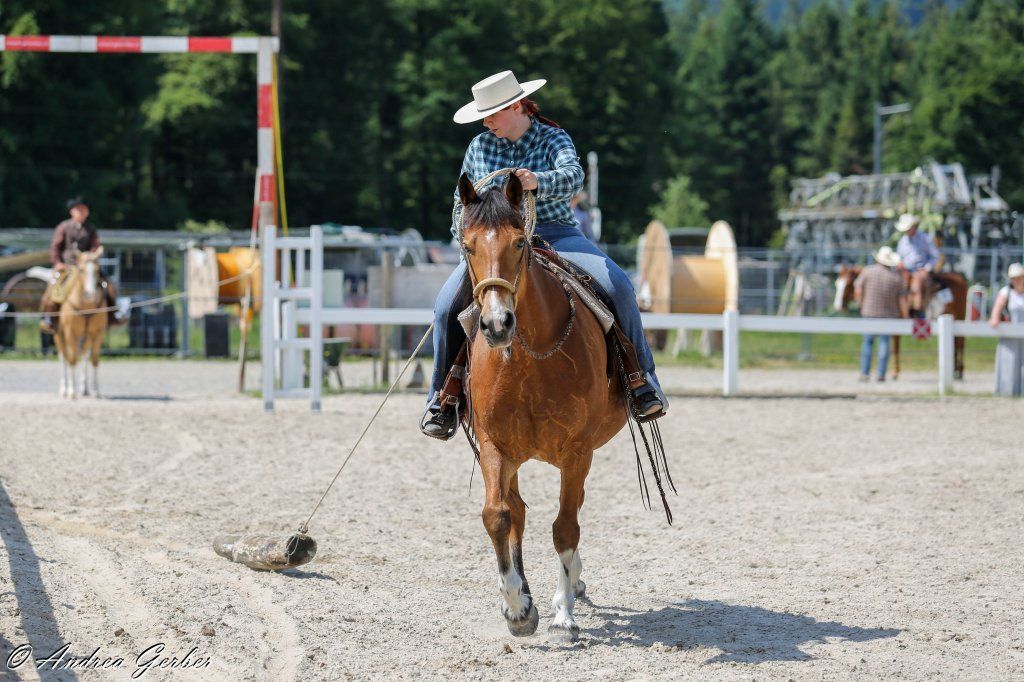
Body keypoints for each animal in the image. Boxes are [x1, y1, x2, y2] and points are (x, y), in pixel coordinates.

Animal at [54, 248, 108, 398]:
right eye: (81, 269)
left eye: (97, 270)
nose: (90, 294)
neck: (86, 307)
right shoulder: (70, 333)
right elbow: (72, 359)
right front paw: (72, 391)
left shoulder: (98, 333)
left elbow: (94, 359)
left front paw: (96, 391)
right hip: (59, 335)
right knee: (64, 357)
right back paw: (64, 389)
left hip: (86, 337)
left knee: (84, 356)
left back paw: (85, 389)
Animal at [456, 172, 663, 643]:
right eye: (468, 245)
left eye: (518, 243)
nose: (497, 324)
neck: (530, 358)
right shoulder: (496, 446)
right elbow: (498, 516)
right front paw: (517, 608)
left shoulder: (576, 450)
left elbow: (565, 528)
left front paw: (562, 614)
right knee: (517, 511)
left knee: (568, 513)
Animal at [834, 264, 968, 379]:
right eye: (837, 283)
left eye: (848, 284)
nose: (838, 306)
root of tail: (960, 278)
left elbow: (895, 348)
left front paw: (895, 373)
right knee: (955, 342)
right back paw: (955, 371)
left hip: (960, 316)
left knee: (960, 343)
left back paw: (959, 372)